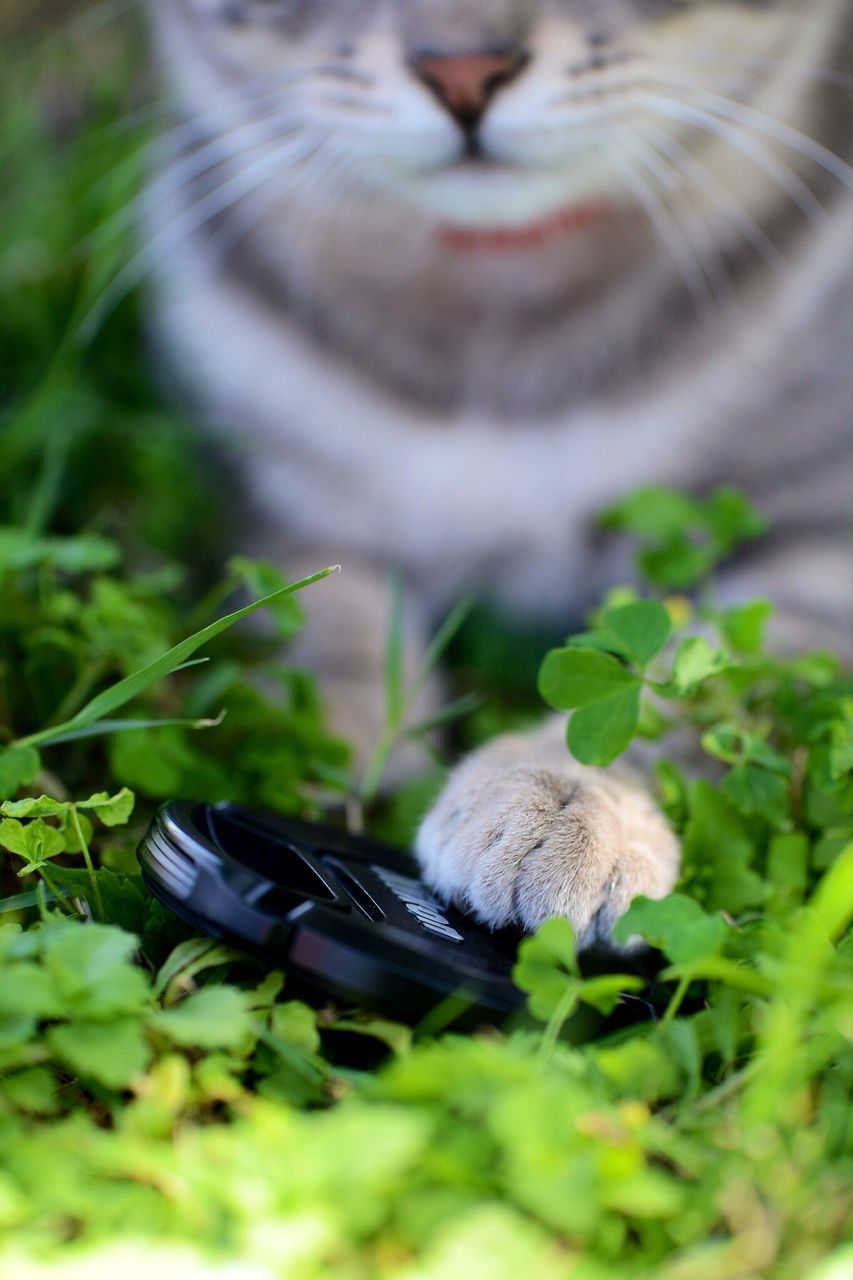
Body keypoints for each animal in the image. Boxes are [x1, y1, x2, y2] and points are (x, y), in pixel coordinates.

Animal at [142, 2, 845, 952]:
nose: (462, 69)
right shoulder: (290, 515)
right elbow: (327, 631)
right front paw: (346, 759)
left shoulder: (818, 550)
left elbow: (685, 686)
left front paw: (567, 799)